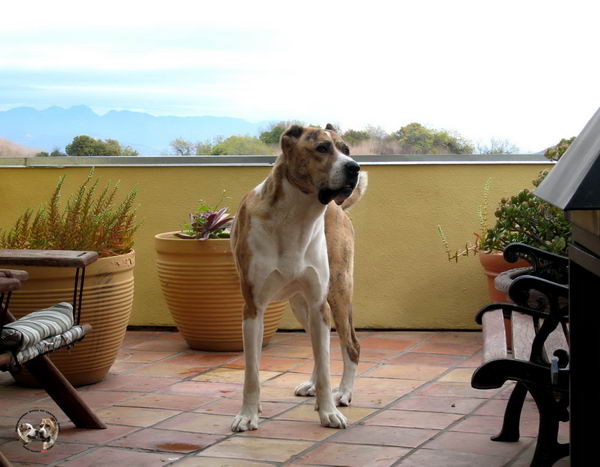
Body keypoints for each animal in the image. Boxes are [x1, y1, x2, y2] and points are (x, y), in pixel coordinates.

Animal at [232, 124, 368, 432]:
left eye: (346, 149)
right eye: (322, 148)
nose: (354, 167)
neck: (296, 218)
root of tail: (338, 208)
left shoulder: (319, 303)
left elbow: (327, 365)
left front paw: (329, 411)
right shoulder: (253, 309)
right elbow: (252, 372)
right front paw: (248, 414)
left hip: (337, 292)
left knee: (350, 345)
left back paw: (343, 393)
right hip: (301, 305)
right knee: (321, 350)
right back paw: (313, 386)